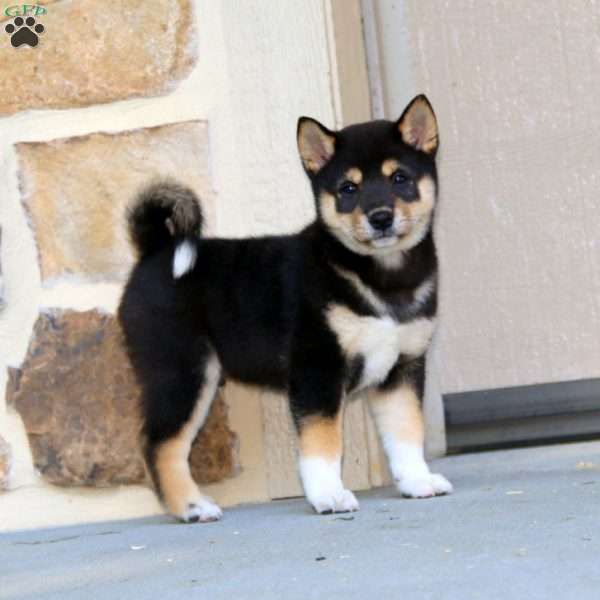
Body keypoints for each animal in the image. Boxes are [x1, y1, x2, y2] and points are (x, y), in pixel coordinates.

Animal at [119, 94, 452, 520]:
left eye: (400, 179)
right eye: (348, 188)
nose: (380, 217)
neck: (383, 276)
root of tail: (155, 251)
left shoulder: (402, 369)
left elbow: (406, 432)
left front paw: (417, 480)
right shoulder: (318, 367)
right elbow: (323, 444)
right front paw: (328, 495)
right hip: (182, 372)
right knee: (160, 444)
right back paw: (191, 507)